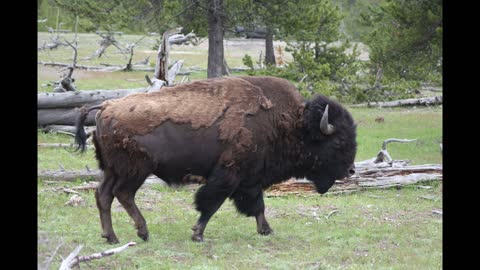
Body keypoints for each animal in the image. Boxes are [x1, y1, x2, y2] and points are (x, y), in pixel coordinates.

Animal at [75, 75, 356, 243]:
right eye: (339, 142)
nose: (351, 170)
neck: (290, 123)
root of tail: (105, 107)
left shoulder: (250, 179)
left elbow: (257, 205)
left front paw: (266, 230)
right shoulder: (228, 176)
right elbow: (211, 204)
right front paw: (198, 234)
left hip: (112, 169)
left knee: (103, 195)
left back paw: (111, 237)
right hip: (135, 170)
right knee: (123, 194)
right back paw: (143, 232)